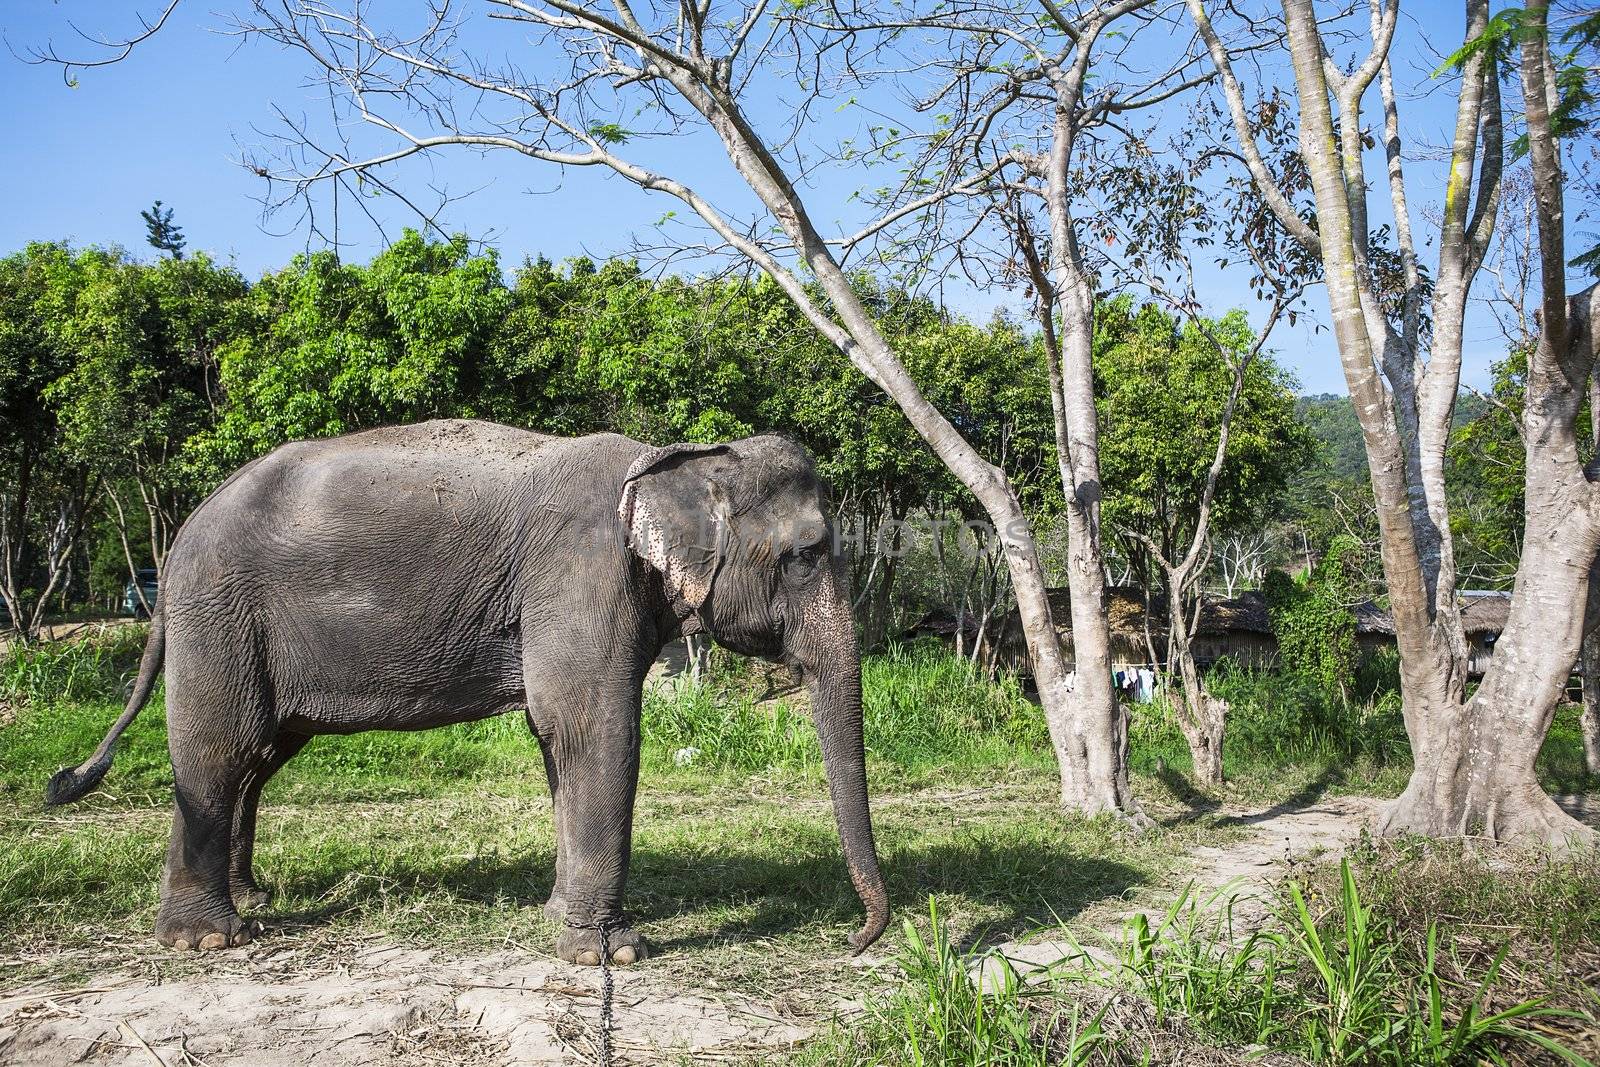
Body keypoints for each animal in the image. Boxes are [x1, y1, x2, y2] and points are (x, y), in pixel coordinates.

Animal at [43, 419, 889, 966]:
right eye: (807, 554)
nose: (852, 941)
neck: (677, 458)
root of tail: (179, 540)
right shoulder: (580, 576)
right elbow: (596, 728)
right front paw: (611, 953)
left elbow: (557, 739)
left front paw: (560, 917)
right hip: (220, 615)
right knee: (220, 748)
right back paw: (207, 939)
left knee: (260, 753)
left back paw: (251, 901)